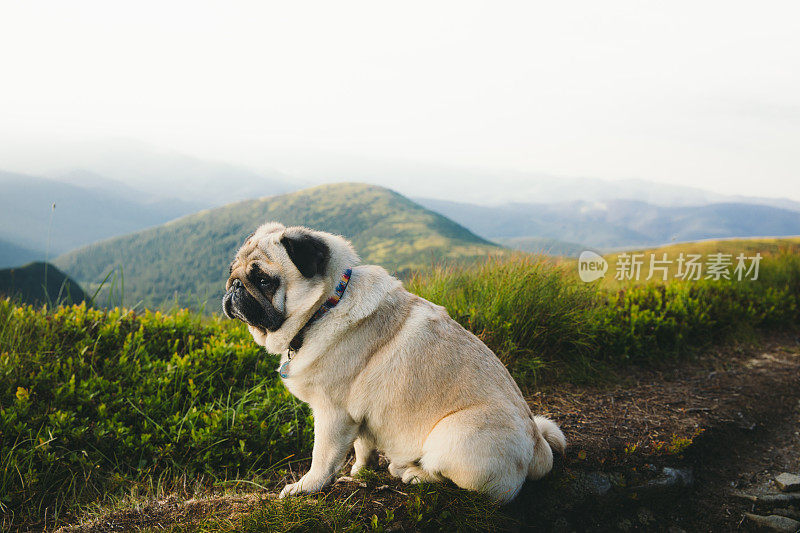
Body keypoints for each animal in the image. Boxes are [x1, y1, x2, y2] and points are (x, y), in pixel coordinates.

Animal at [222, 221, 564, 502]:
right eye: (231, 271)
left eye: (263, 280)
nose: (235, 286)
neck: (326, 307)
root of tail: (538, 449)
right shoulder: (358, 417)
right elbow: (361, 447)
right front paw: (360, 471)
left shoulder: (333, 413)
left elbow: (323, 458)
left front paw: (306, 487)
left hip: (453, 437)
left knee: (447, 478)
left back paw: (412, 472)